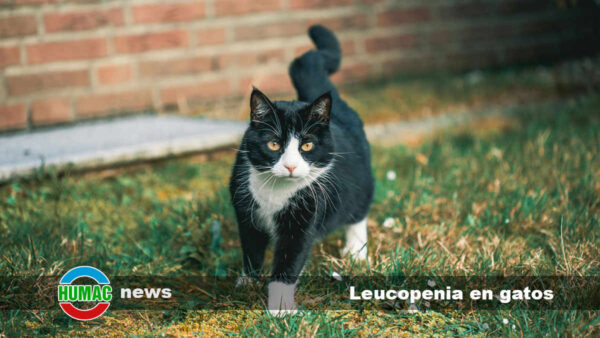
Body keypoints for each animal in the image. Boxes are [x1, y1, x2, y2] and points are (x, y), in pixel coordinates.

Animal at [231, 24, 376, 316]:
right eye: (274, 143)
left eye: (307, 145)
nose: (290, 165)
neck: (276, 192)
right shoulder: (245, 211)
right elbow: (251, 249)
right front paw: (247, 282)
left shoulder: (304, 217)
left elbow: (289, 262)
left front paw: (280, 310)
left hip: (362, 179)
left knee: (359, 209)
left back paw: (356, 250)